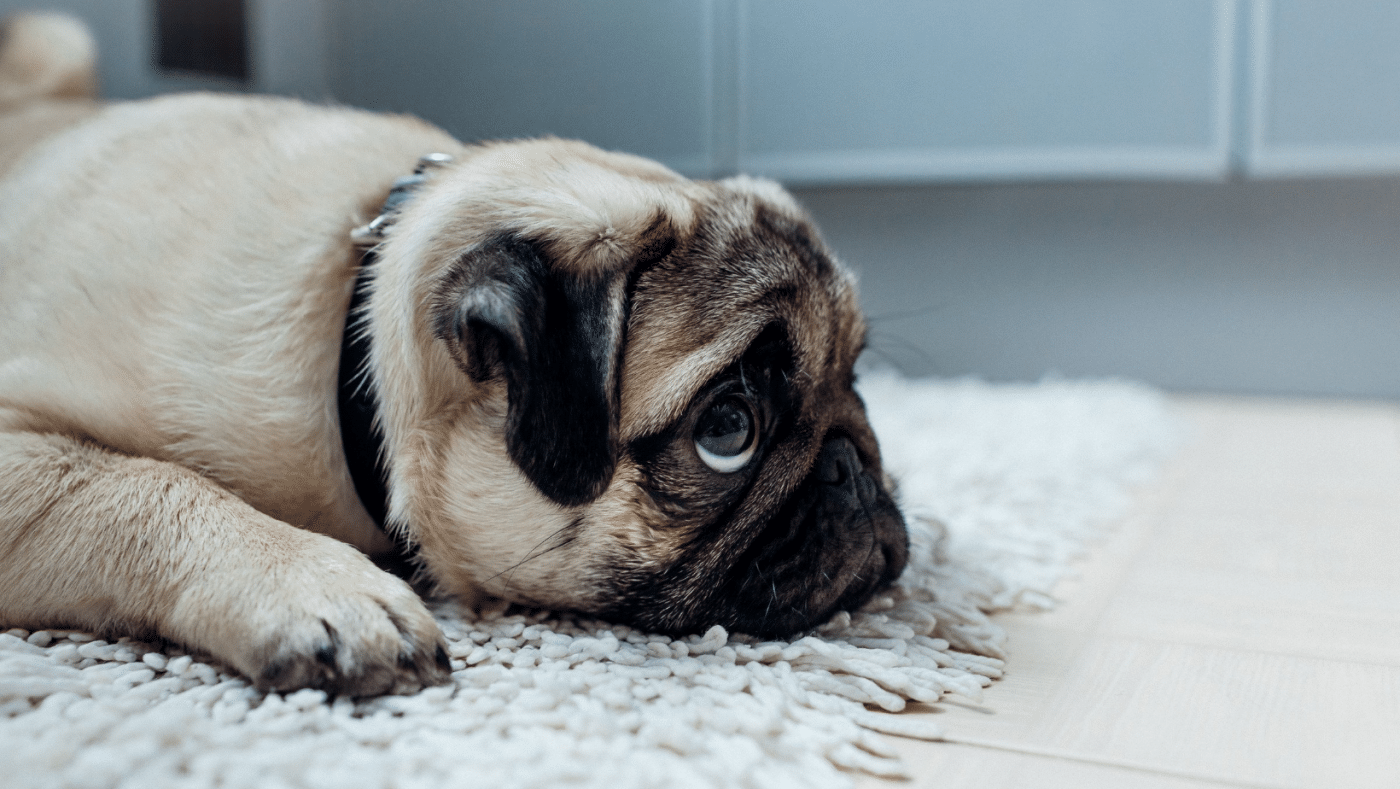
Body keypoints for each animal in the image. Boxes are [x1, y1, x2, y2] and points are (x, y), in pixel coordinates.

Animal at [0, 10, 907, 691]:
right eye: (728, 430)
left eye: (857, 379)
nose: (851, 467)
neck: (350, 334)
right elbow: (142, 484)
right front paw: (315, 582)